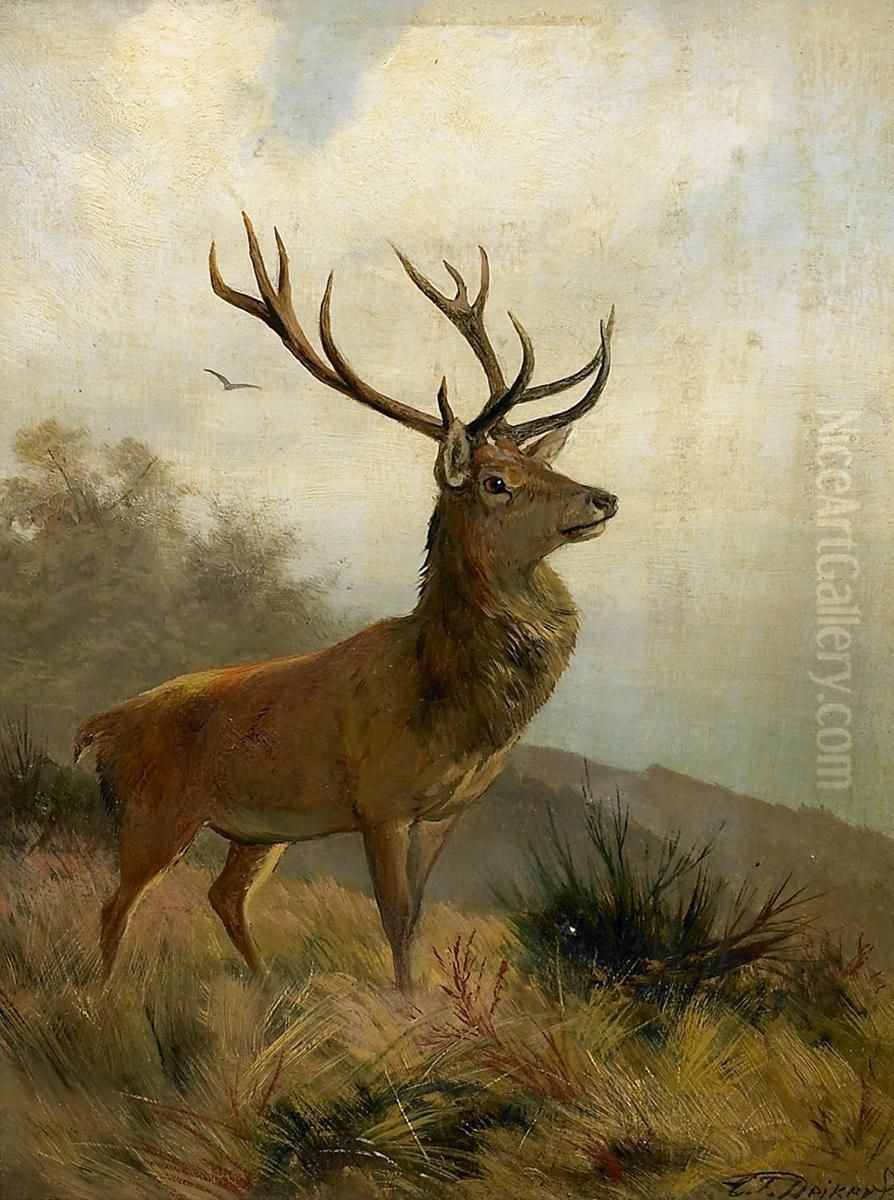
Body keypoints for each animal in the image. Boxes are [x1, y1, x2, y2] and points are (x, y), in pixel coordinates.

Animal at [74, 213, 619, 993]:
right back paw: (103, 997)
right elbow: (394, 920)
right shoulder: (380, 803)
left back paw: (267, 985)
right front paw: (408, 1007)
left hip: (257, 830)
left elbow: (417, 919)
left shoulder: (445, 813)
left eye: (537, 461)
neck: (451, 706)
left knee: (224, 895)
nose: (602, 498)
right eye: (496, 482)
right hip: (151, 813)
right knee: (116, 904)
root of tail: (96, 728)